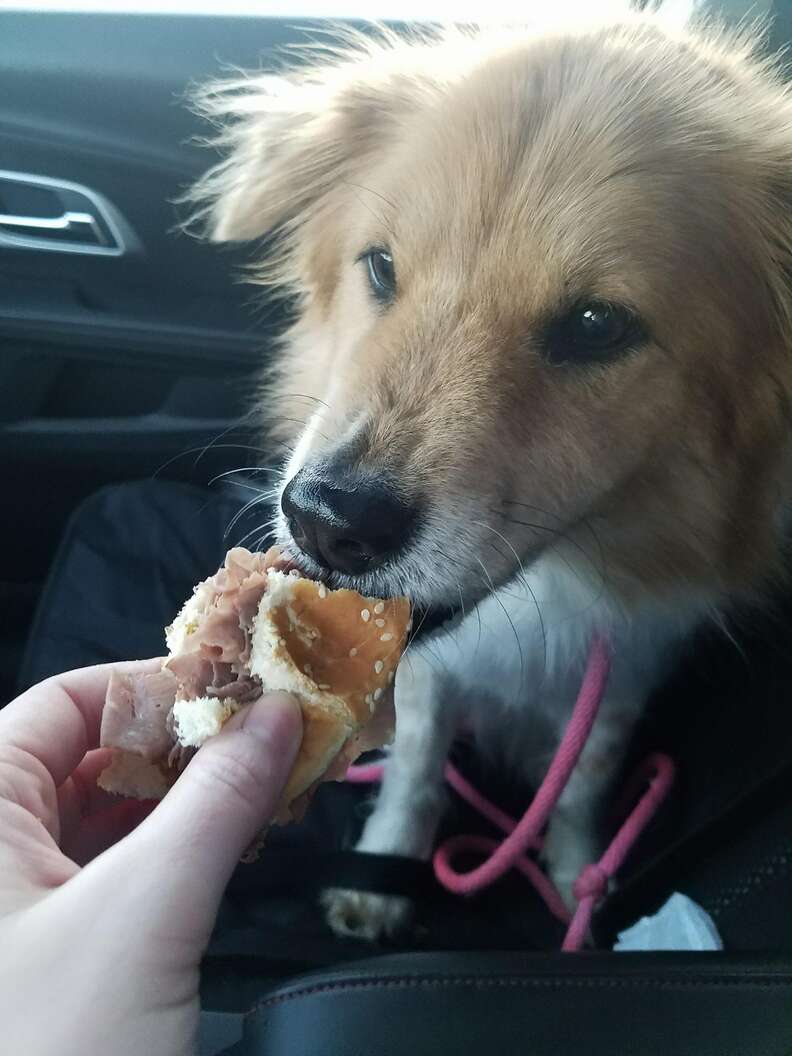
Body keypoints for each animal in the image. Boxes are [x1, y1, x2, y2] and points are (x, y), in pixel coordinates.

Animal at [187, 2, 792, 941]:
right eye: (381, 266)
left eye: (597, 326)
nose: (329, 521)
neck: (550, 586)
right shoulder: (433, 673)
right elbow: (415, 767)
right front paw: (386, 871)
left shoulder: (627, 666)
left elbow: (583, 784)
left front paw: (580, 883)